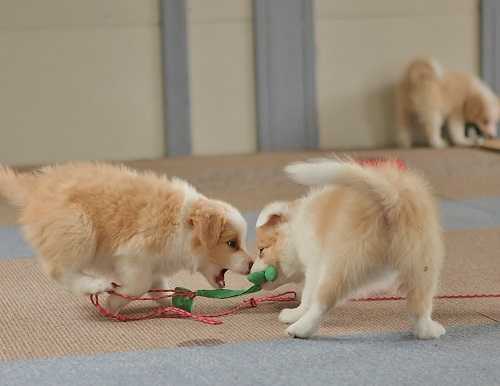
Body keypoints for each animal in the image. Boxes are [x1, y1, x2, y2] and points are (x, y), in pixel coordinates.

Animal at [0, 161, 252, 312]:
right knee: (60, 270)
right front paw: (114, 302)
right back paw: (96, 285)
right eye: (232, 243)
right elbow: (138, 286)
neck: (182, 224)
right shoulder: (134, 255)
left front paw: (173, 304)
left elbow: (159, 286)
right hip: (79, 228)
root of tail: (35, 187)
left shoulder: (155, 265)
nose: (252, 264)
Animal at [254, 158, 446, 340]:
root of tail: (392, 199)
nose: (250, 272)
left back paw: (299, 328)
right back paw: (429, 330)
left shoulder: (316, 265)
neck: (296, 228)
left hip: (344, 262)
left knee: (323, 301)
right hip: (422, 264)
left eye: (261, 251)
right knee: (420, 305)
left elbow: (308, 295)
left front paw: (295, 313)